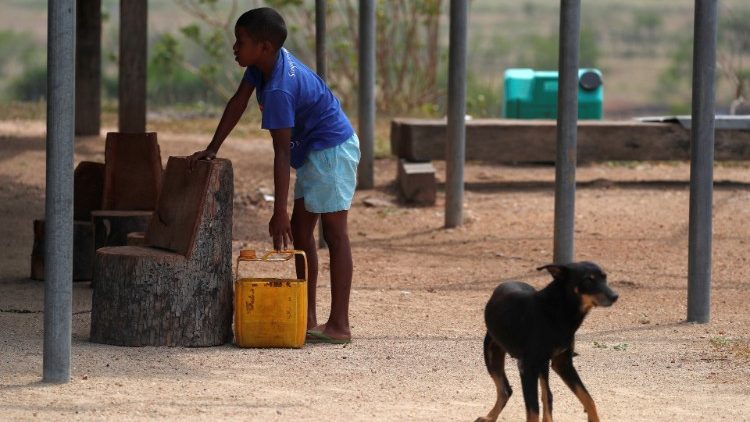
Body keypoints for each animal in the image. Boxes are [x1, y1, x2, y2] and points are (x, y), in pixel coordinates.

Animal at [478, 260, 620, 422]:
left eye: (604, 277)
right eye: (588, 279)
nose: (615, 296)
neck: (559, 311)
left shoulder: (563, 363)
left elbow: (588, 399)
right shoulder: (527, 367)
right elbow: (532, 410)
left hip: (541, 364)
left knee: (544, 395)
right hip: (492, 354)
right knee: (504, 390)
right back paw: (489, 417)